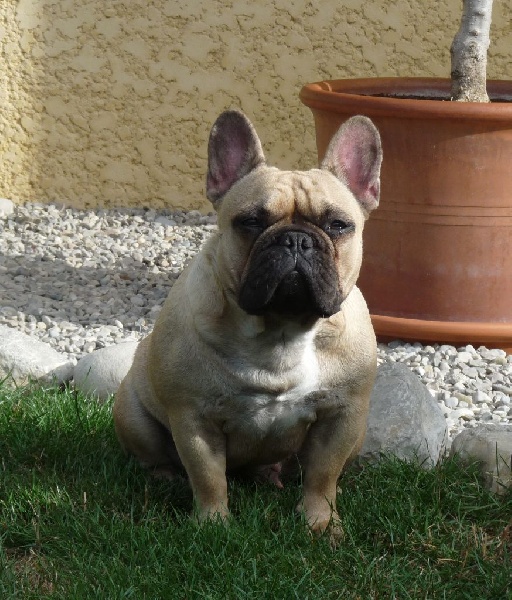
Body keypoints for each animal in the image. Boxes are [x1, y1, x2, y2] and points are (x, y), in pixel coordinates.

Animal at [113, 110, 382, 539]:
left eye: (338, 225)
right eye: (251, 222)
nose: (295, 240)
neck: (282, 329)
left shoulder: (342, 416)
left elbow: (323, 475)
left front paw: (321, 522)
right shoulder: (194, 418)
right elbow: (208, 477)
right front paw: (212, 525)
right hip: (132, 413)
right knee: (156, 455)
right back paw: (164, 477)